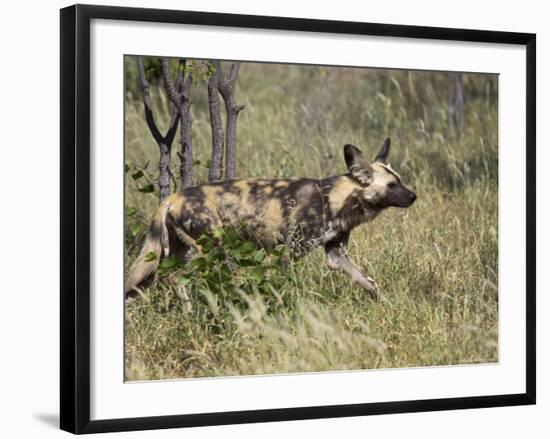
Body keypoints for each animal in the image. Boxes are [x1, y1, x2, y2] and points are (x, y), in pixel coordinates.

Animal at [126, 139, 418, 300]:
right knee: (175, 280)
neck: (337, 198)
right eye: (392, 185)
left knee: (143, 285)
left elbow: (369, 284)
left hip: (171, 255)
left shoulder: (337, 255)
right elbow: (286, 285)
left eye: (400, 181)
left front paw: (384, 304)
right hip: (208, 249)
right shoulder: (291, 251)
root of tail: (172, 198)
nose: (414, 196)